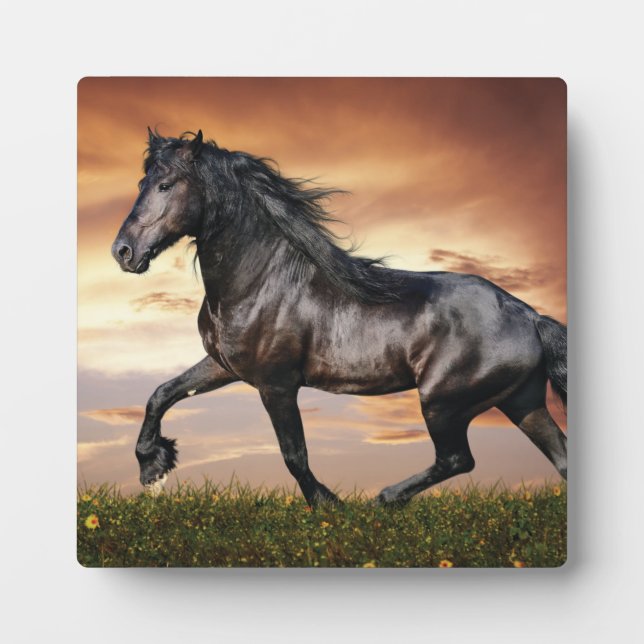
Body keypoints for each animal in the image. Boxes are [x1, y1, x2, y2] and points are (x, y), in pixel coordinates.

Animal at [111, 129, 567, 506]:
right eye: (141, 184)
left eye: (166, 184)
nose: (123, 252)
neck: (261, 281)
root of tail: (529, 316)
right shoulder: (224, 366)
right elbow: (162, 393)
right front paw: (153, 467)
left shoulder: (276, 384)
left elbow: (294, 455)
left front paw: (329, 506)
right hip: (521, 403)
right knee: (559, 457)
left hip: (444, 403)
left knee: (458, 459)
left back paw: (385, 499)